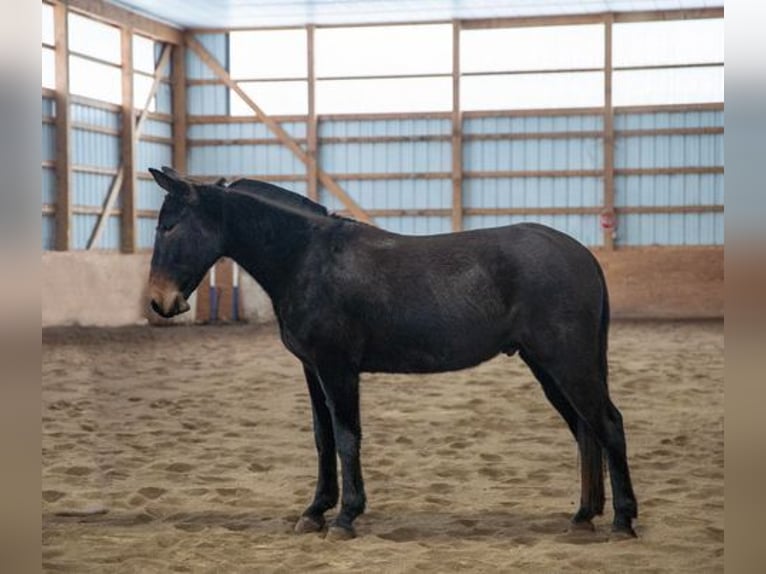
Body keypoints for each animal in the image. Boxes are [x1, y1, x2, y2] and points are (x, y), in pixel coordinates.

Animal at [147, 168, 640, 544]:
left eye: (169, 226)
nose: (158, 302)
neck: (307, 258)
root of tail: (581, 255)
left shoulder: (338, 368)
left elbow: (347, 437)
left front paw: (346, 517)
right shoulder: (312, 369)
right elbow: (323, 438)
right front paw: (314, 511)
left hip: (568, 363)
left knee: (608, 424)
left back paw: (622, 520)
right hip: (547, 366)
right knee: (585, 430)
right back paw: (583, 516)